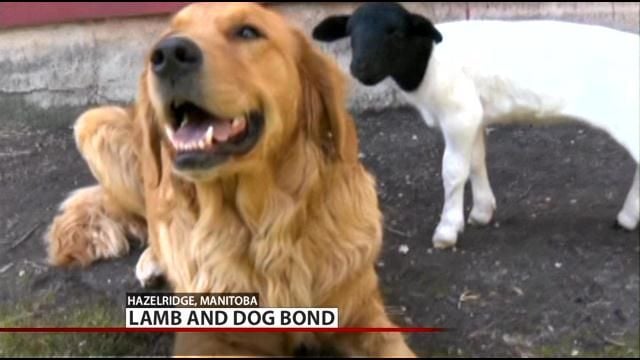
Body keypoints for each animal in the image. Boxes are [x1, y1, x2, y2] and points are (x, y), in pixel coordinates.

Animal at [312, 2, 636, 249]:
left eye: (396, 32)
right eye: (350, 32)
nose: (360, 69)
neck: (428, 63)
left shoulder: (459, 114)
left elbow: (454, 171)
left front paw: (446, 230)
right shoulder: (474, 115)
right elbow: (477, 161)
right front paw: (481, 211)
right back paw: (628, 217)